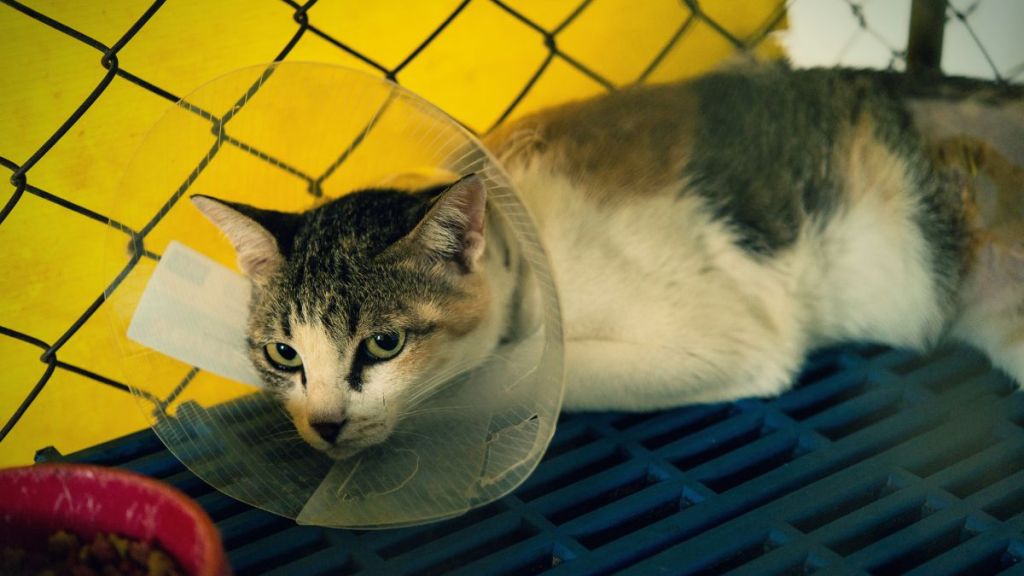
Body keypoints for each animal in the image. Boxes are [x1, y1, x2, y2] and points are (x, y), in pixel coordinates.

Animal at [192, 63, 1024, 457]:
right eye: (283, 354)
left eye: (384, 344)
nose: (326, 424)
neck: (533, 261)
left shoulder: (736, 343)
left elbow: (527, 373)